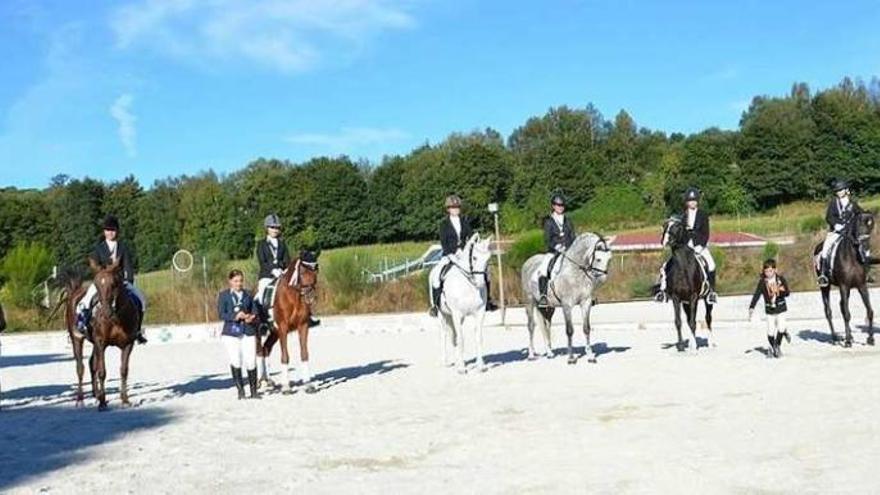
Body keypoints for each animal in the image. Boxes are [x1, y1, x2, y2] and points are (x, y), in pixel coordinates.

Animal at [258, 252, 320, 396]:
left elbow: (304, 353)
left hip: (274, 333)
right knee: (258, 352)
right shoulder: (283, 328)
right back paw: (261, 383)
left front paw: (308, 384)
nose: (310, 296)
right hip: (259, 332)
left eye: (316, 270)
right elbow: (285, 356)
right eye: (302, 271)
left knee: (266, 349)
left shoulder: (303, 326)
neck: (294, 296)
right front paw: (286, 387)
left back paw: (268, 381)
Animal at [434, 234, 496, 374]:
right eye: (474, 257)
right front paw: (462, 368)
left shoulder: (480, 312)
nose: (480, 283)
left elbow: (478, 338)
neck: (468, 285)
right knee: (444, 335)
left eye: (488, 259)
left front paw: (480, 366)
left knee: (454, 336)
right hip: (442, 315)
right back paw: (446, 362)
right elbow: (461, 339)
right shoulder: (456, 314)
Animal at [520, 232, 608, 364]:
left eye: (609, 259)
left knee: (546, 325)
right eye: (598, 259)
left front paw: (590, 356)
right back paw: (531, 355)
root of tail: (529, 261)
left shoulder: (585, 303)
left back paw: (550, 353)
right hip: (529, 301)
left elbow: (586, 328)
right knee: (531, 326)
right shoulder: (567, 304)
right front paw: (571, 358)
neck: (576, 272)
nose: (602, 279)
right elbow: (569, 330)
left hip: (548, 307)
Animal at [660, 217, 716, 352]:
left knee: (708, 318)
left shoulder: (693, 297)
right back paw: (691, 343)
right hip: (686, 303)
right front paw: (681, 346)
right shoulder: (676, 298)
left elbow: (693, 322)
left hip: (706, 300)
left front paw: (694, 347)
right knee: (689, 318)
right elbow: (678, 321)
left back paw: (710, 343)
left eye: (677, 227)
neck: (683, 267)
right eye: (664, 225)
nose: (665, 241)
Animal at [816, 211, 876, 346]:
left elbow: (869, 311)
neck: (852, 256)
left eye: (871, 227)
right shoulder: (843, 286)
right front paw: (848, 340)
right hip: (825, 287)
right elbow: (847, 314)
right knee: (828, 311)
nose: (866, 248)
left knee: (842, 307)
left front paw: (870, 338)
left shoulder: (861, 286)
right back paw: (834, 337)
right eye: (859, 225)